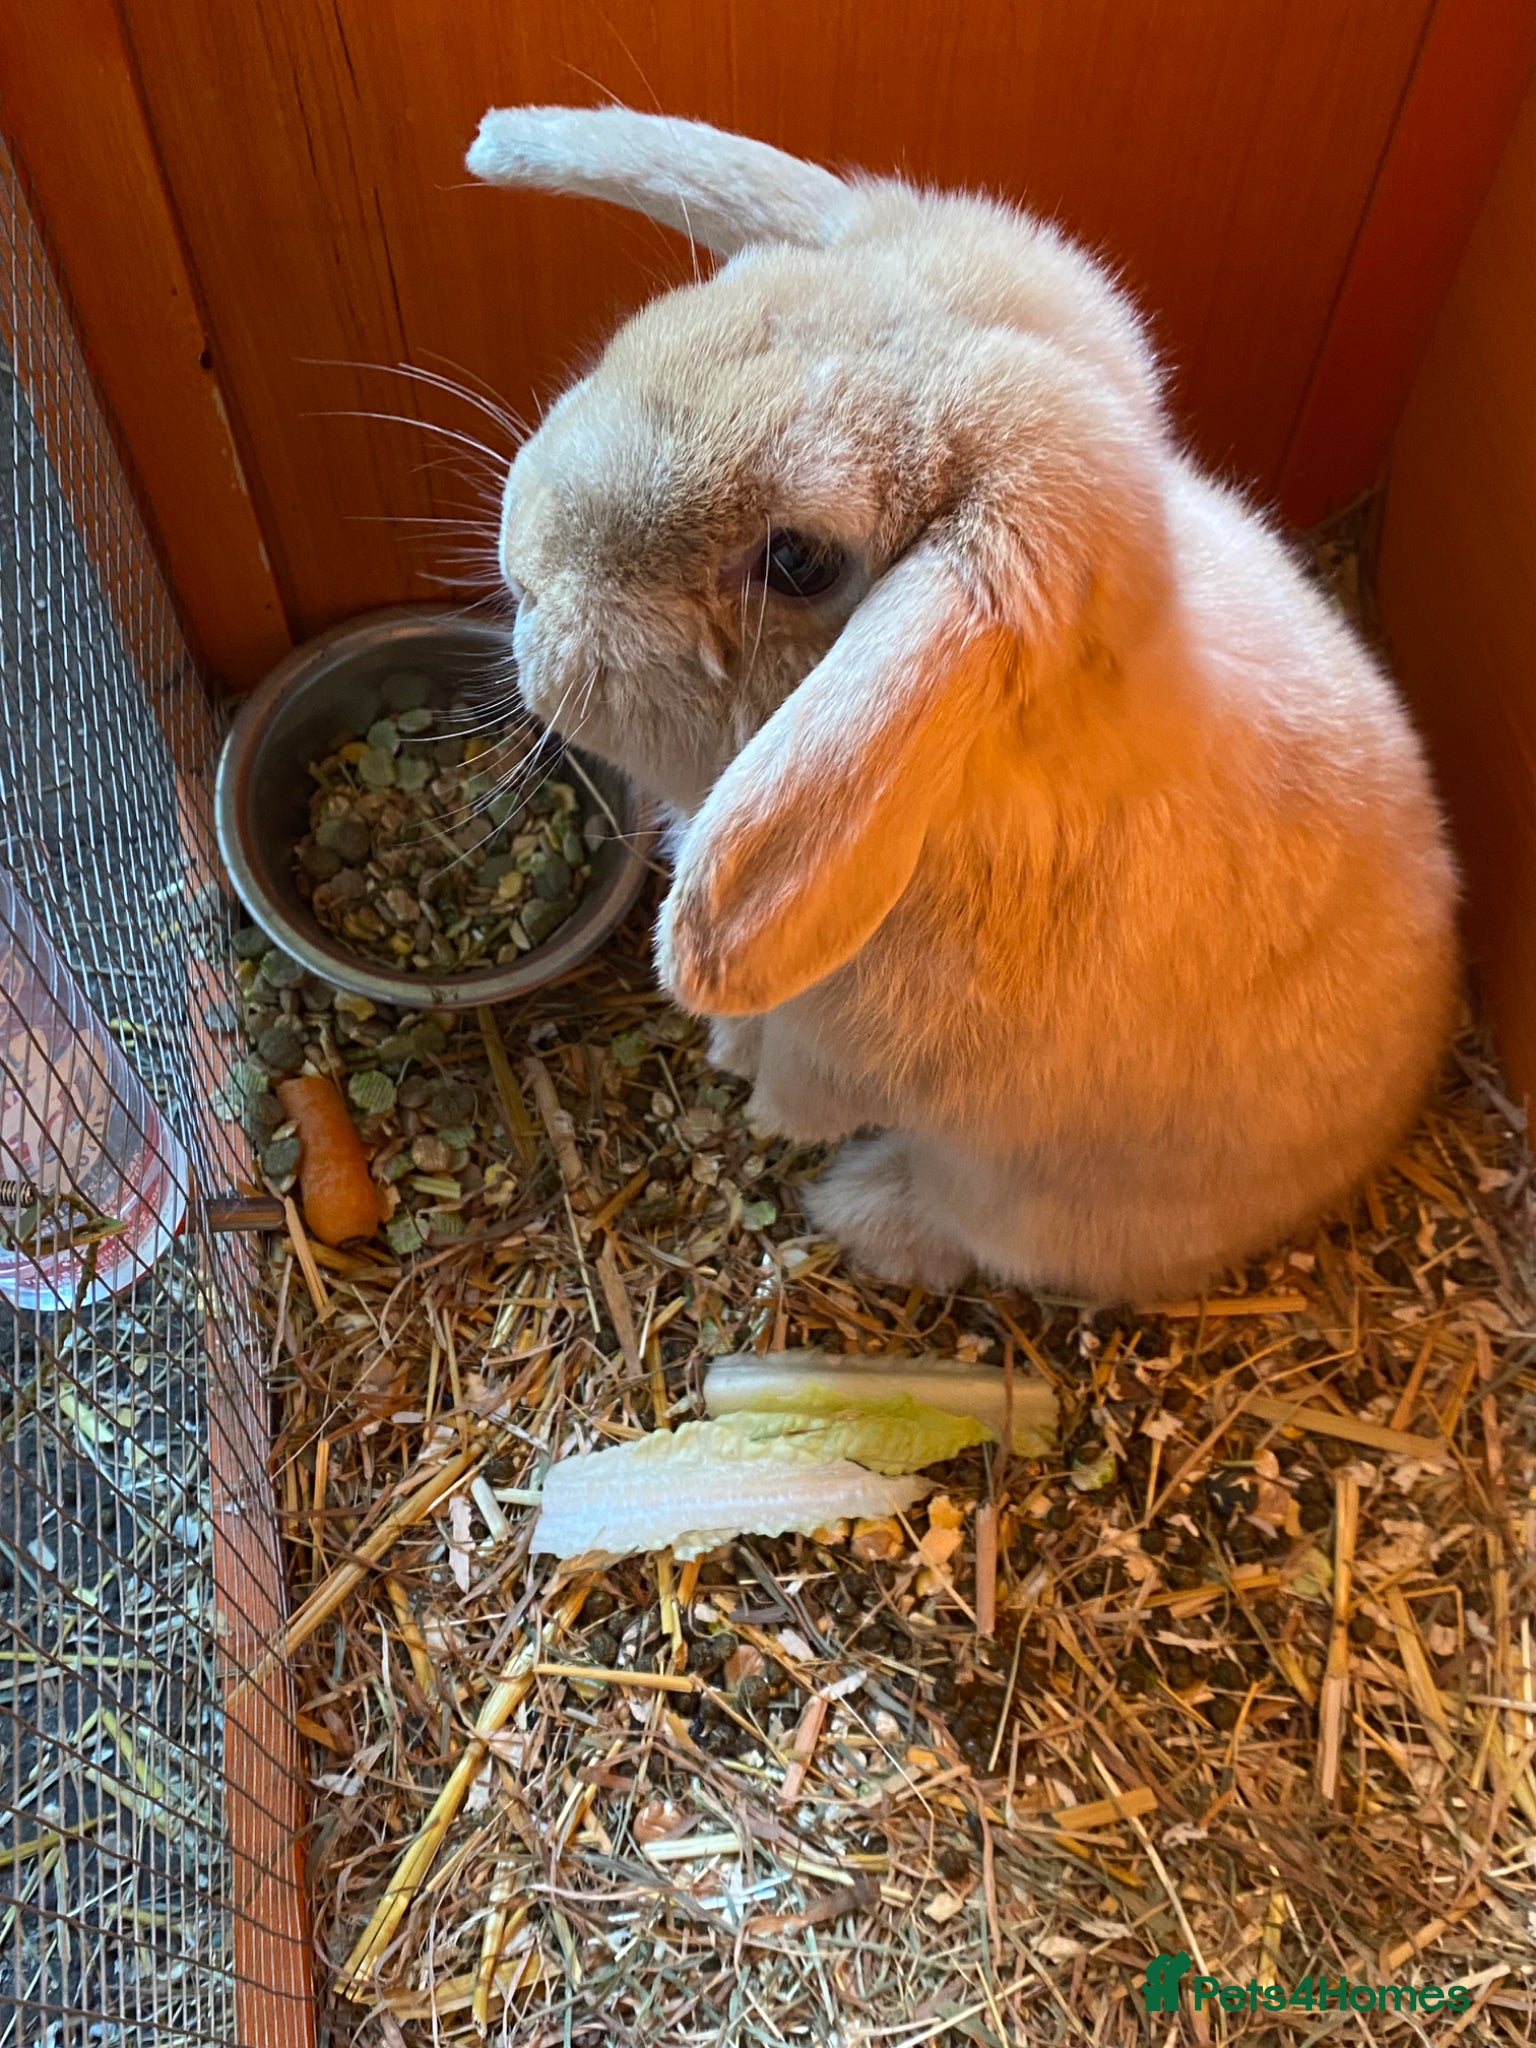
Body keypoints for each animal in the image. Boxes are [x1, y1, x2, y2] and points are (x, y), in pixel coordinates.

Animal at [466, 104, 1459, 1305]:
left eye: (797, 562)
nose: (525, 568)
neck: (958, 780)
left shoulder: (848, 1050)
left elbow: (806, 1087)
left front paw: (754, 1093)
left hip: (1028, 1200)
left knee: (964, 1228)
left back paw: (866, 1213)